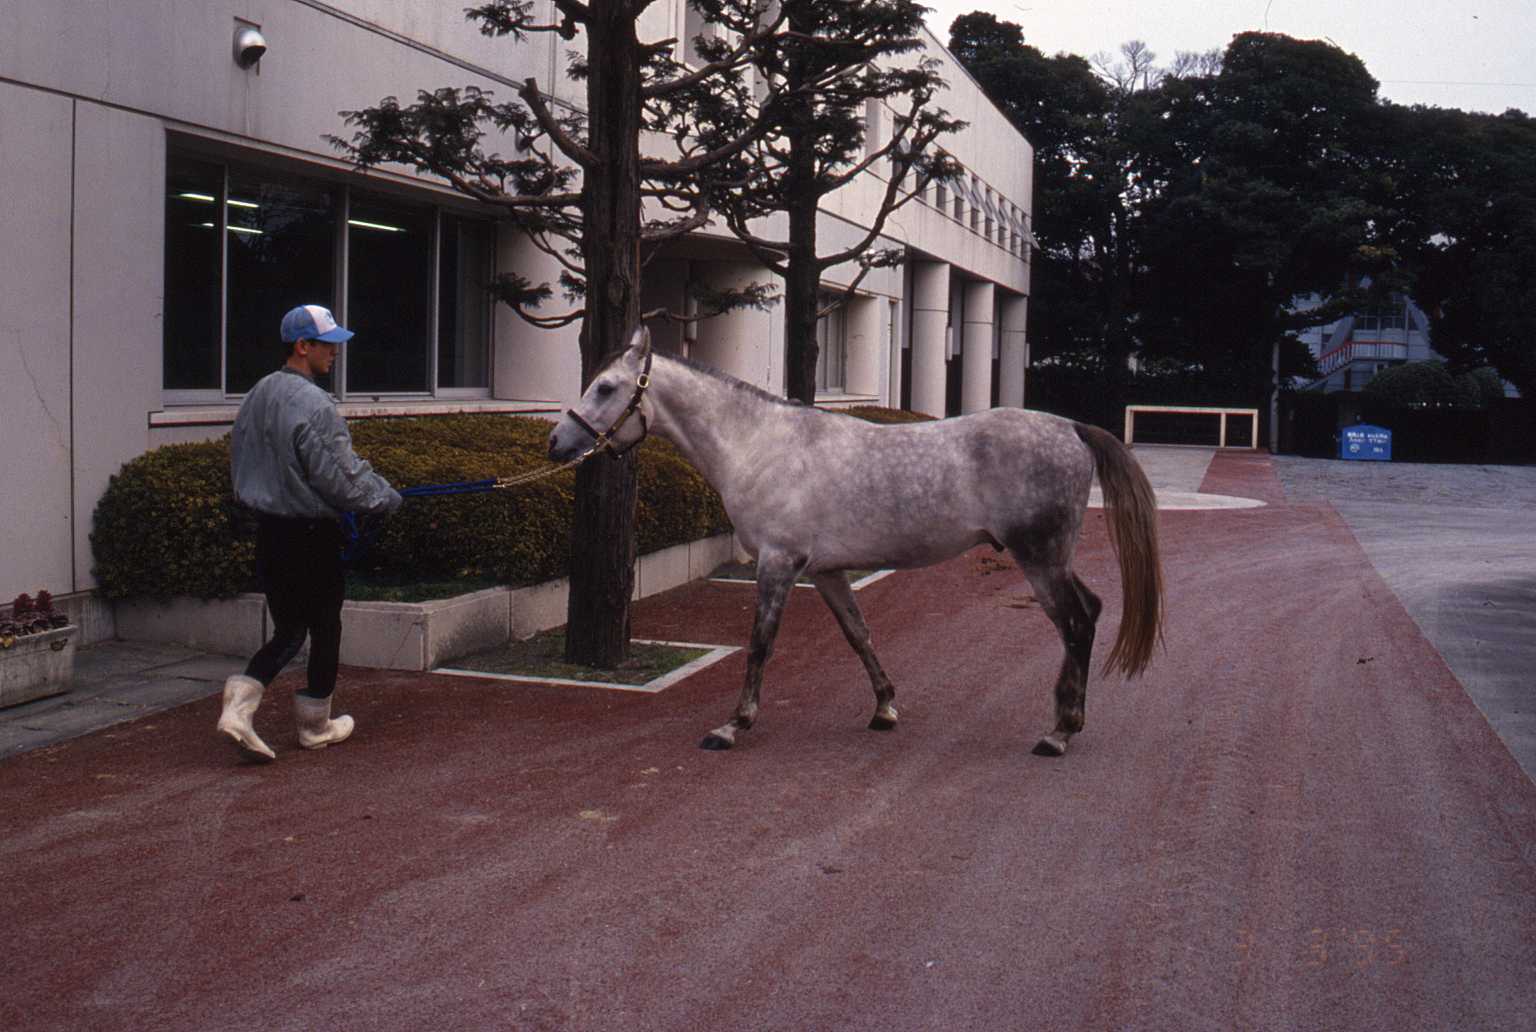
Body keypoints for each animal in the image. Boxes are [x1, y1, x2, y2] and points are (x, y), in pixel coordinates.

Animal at [552, 330, 1161, 758]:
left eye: (605, 387)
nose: (558, 442)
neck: (760, 443)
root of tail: (1073, 428)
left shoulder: (779, 563)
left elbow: (761, 643)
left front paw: (733, 724)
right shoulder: (825, 570)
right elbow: (858, 634)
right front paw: (885, 708)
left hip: (1040, 559)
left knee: (1076, 624)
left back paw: (1059, 732)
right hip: (1052, 558)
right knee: (1091, 611)